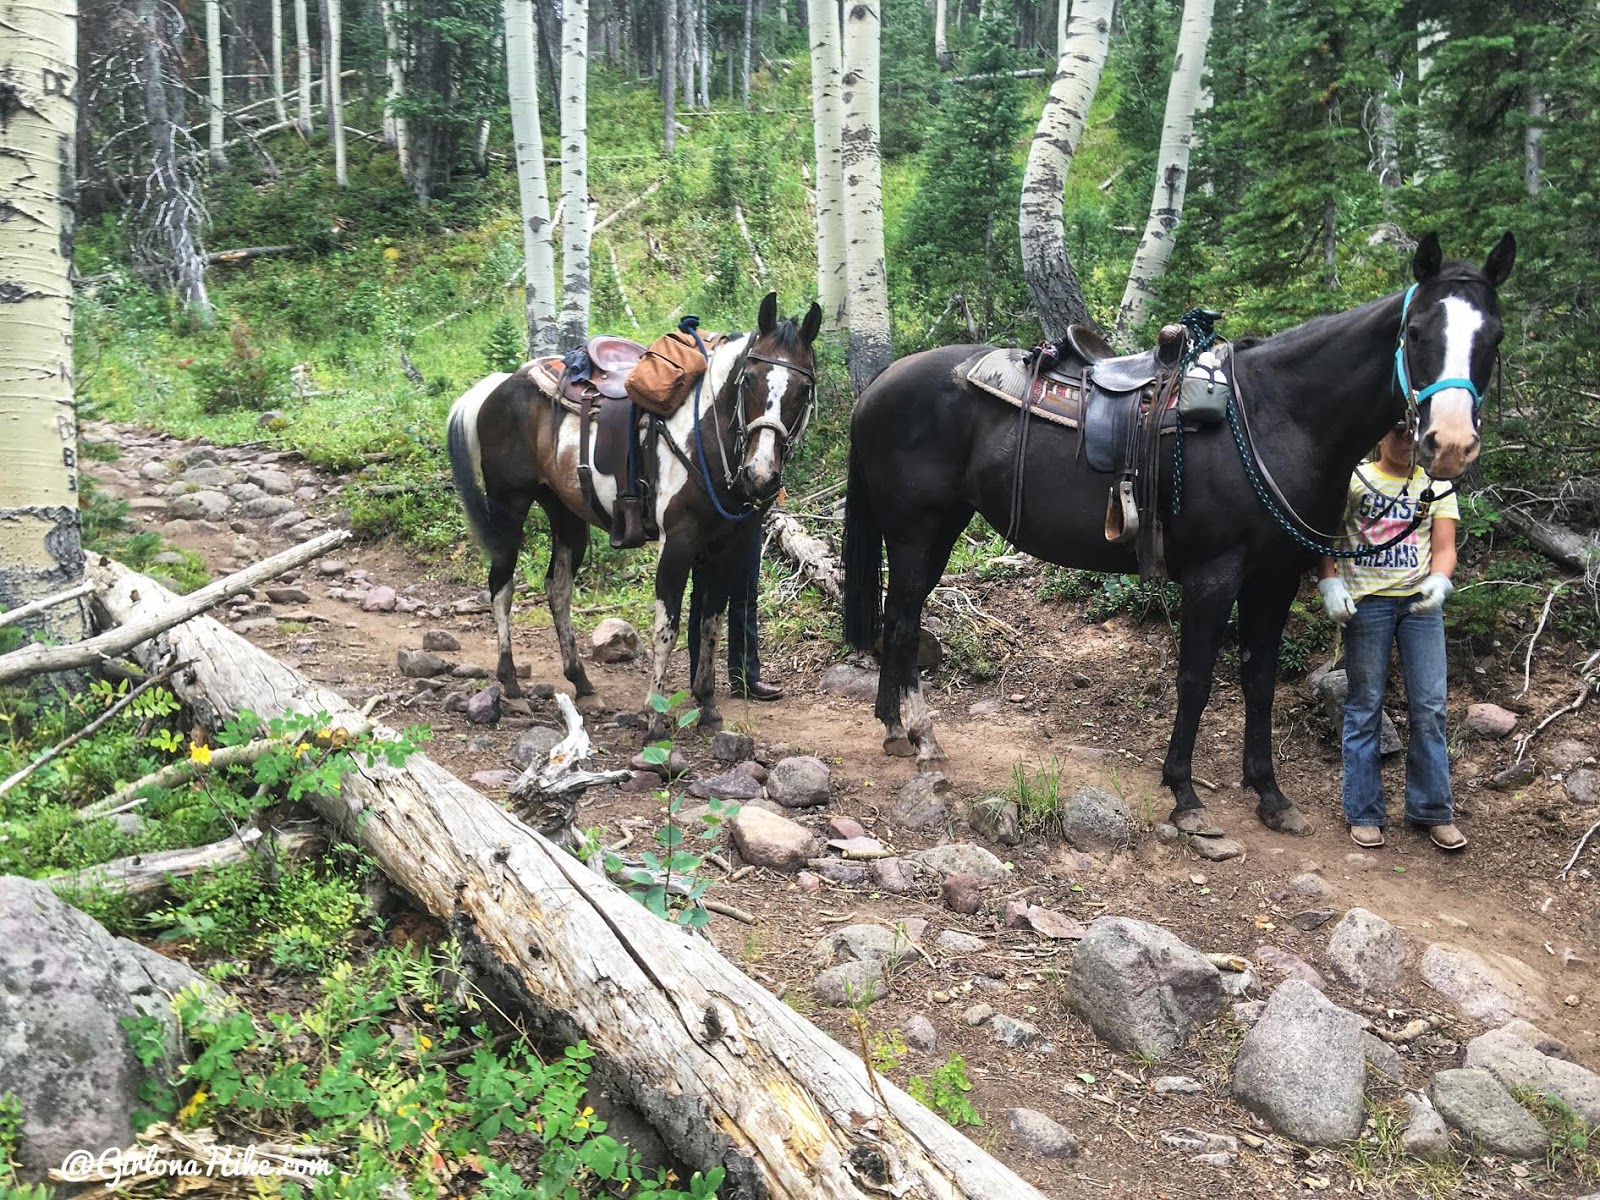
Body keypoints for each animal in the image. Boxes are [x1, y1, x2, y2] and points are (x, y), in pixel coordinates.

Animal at [454, 296, 819, 739]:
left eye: (803, 389)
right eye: (748, 380)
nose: (760, 475)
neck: (705, 438)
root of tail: (501, 383)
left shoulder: (727, 546)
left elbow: (711, 624)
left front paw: (708, 705)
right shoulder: (677, 541)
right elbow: (668, 627)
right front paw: (655, 715)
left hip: (566, 514)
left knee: (558, 589)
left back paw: (582, 683)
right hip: (509, 505)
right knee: (501, 586)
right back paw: (510, 684)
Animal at [844, 232, 1516, 838]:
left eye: (1494, 337)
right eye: (1416, 333)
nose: (1451, 443)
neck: (1278, 415)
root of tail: (880, 384)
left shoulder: (1274, 579)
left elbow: (1259, 679)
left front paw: (1270, 797)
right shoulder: (1214, 576)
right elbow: (1195, 680)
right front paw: (1186, 797)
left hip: (938, 530)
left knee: (896, 618)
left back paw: (894, 729)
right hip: (918, 530)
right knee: (902, 622)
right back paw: (922, 736)